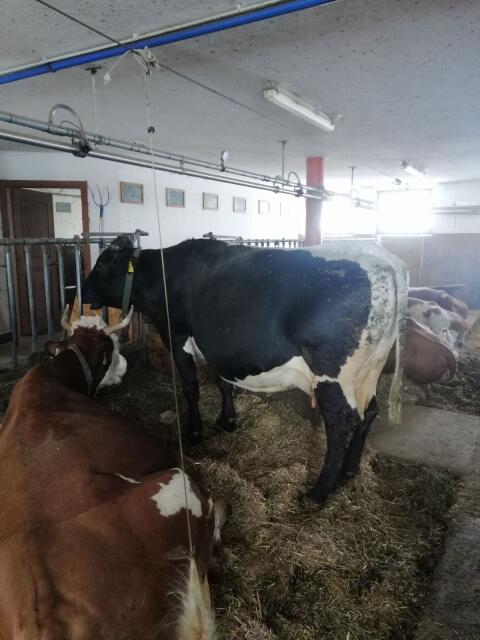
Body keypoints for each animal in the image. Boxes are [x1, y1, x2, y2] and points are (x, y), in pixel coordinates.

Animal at [83, 236, 408, 505]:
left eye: (101, 264)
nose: (81, 291)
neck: (161, 273)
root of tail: (383, 258)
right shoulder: (218, 346)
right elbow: (222, 382)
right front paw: (227, 421)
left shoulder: (175, 336)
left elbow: (190, 387)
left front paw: (195, 432)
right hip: (369, 371)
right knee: (369, 414)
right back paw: (349, 470)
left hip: (332, 373)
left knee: (341, 425)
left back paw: (317, 493)